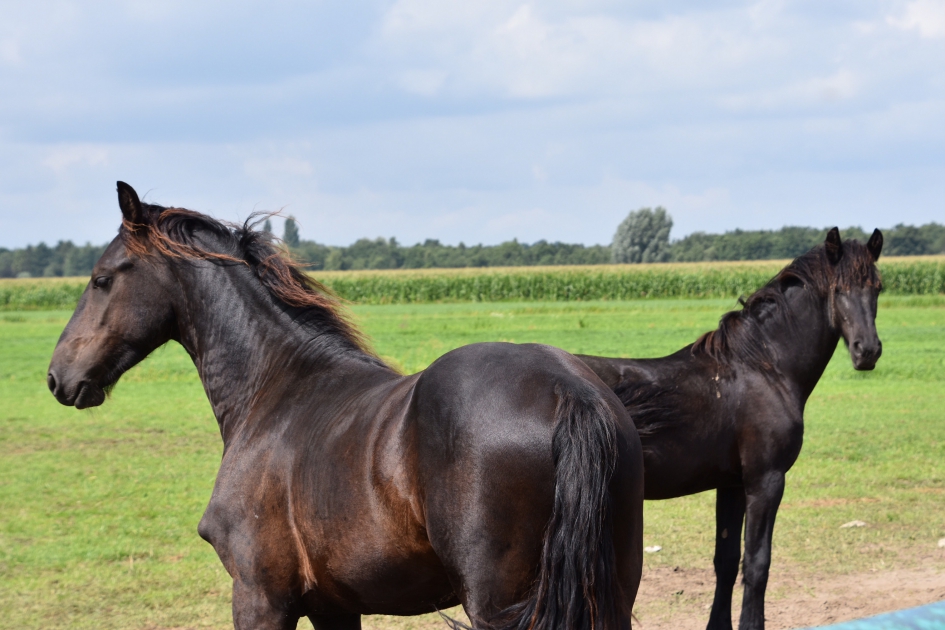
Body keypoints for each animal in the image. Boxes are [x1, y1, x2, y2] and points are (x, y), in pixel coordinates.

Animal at [47, 183, 644, 630]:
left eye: (101, 279)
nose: (58, 376)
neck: (276, 390)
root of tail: (569, 390)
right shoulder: (334, 605)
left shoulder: (261, 597)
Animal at [578, 228, 884, 630]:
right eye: (838, 289)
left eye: (877, 287)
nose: (868, 351)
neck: (763, 367)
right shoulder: (765, 481)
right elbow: (757, 563)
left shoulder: (732, 485)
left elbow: (725, 561)